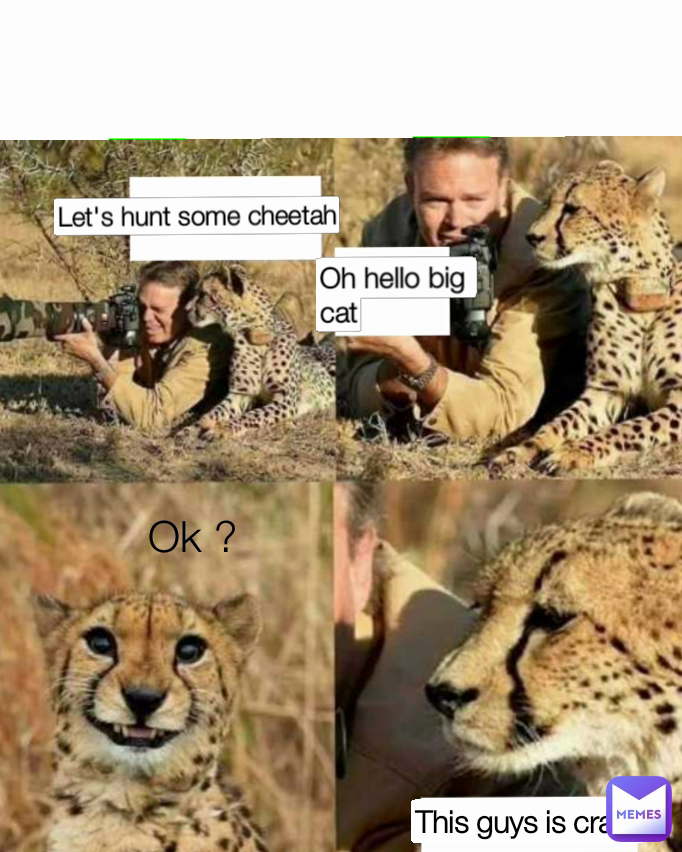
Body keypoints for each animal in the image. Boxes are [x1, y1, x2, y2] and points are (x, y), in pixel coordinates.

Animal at [184, 265, 335, 438]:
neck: (256, 337)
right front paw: (191, 429)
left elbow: (252, 415)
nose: (185, 309)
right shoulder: (240, 394)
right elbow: (215, 411)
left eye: (204, 294)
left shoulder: (286, 400)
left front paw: (222, 428)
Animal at [490, 160, 682, 476]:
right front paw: (520, 451)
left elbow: (628, 429)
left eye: (573, 209)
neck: (634, 293)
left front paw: (574, 451)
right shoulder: (605, 390)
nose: (531, 237)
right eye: (548, 203)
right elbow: (557, 423)